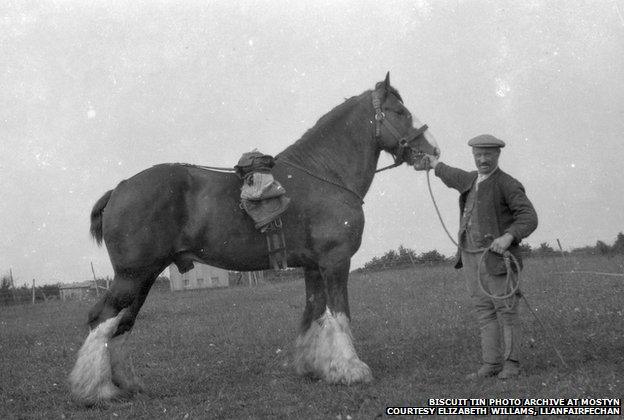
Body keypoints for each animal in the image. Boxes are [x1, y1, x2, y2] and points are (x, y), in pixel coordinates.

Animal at [69, 74, 438, 406]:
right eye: (399, 111)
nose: (432, 152)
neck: (325, 175)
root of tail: (120, 188)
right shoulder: (335, 262)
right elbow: (339, 314)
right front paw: (351, 370)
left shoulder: (313, 267)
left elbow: (313, 313)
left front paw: (314, 367)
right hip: (132, 276)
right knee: (101, 319)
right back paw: (98, 392)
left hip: (143, 278)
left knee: (121, 325)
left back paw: (126, 386)